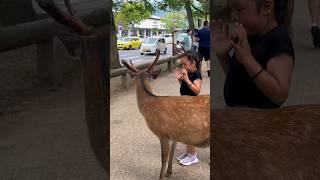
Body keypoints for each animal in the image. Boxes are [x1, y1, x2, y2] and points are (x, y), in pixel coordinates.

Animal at [122, 50, 210, 179]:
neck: (149, 106)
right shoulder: (174, 134)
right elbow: (172, 153)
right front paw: (169, 172)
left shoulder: (163, 133)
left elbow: (163, 160)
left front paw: (161, 176)